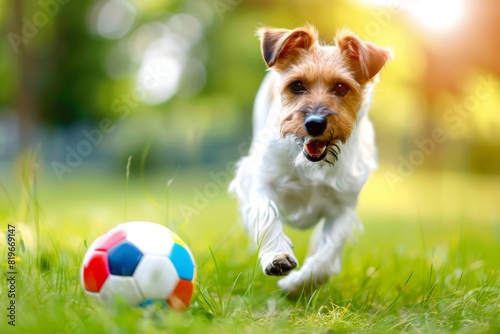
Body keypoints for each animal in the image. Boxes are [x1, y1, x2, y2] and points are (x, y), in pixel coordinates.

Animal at [229, 24, 390, 294]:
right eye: (296, 85)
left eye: (340, 87)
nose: (315, 124)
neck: (313, 166)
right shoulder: (260, 181)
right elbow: (266, 213)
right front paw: (277, 256)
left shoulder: (343, 209)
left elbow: (326, 255)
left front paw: (298, 285)